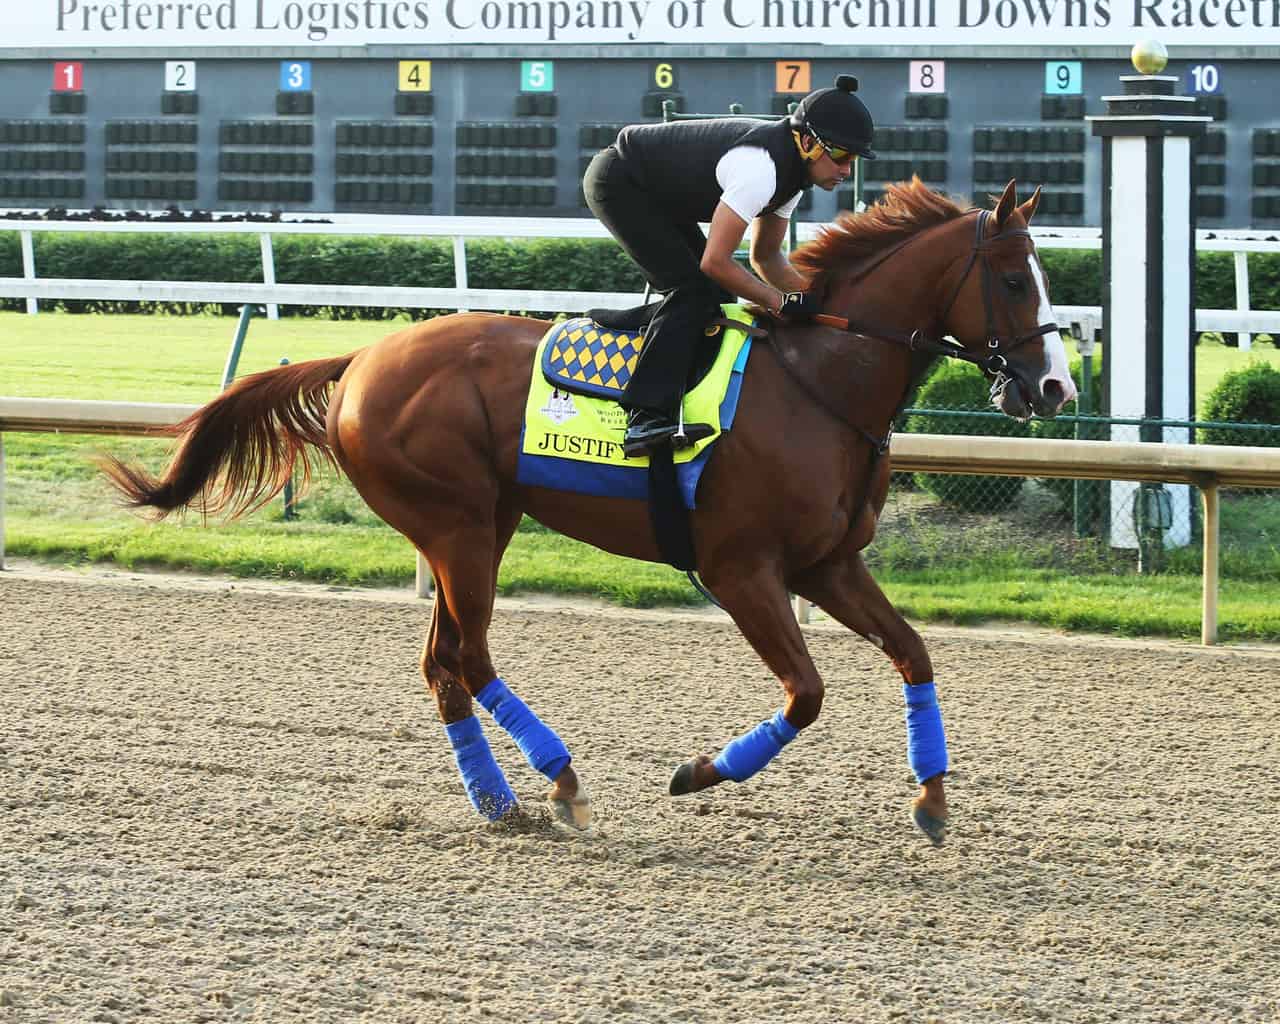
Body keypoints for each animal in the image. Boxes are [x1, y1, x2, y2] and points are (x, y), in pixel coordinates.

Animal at [104, 180, 1075, 844]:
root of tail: (365, 356)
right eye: (1011, 279)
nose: (1055, 389)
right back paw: (561, 780)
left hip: (478, 527)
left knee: (443, 665)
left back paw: (499, 801)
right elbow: (806, 693)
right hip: (458, 530)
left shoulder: (827, 563)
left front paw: (933, 798)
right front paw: (698, 772)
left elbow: (913, 653)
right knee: (472, 656)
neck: (818, 384)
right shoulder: (739, 569)